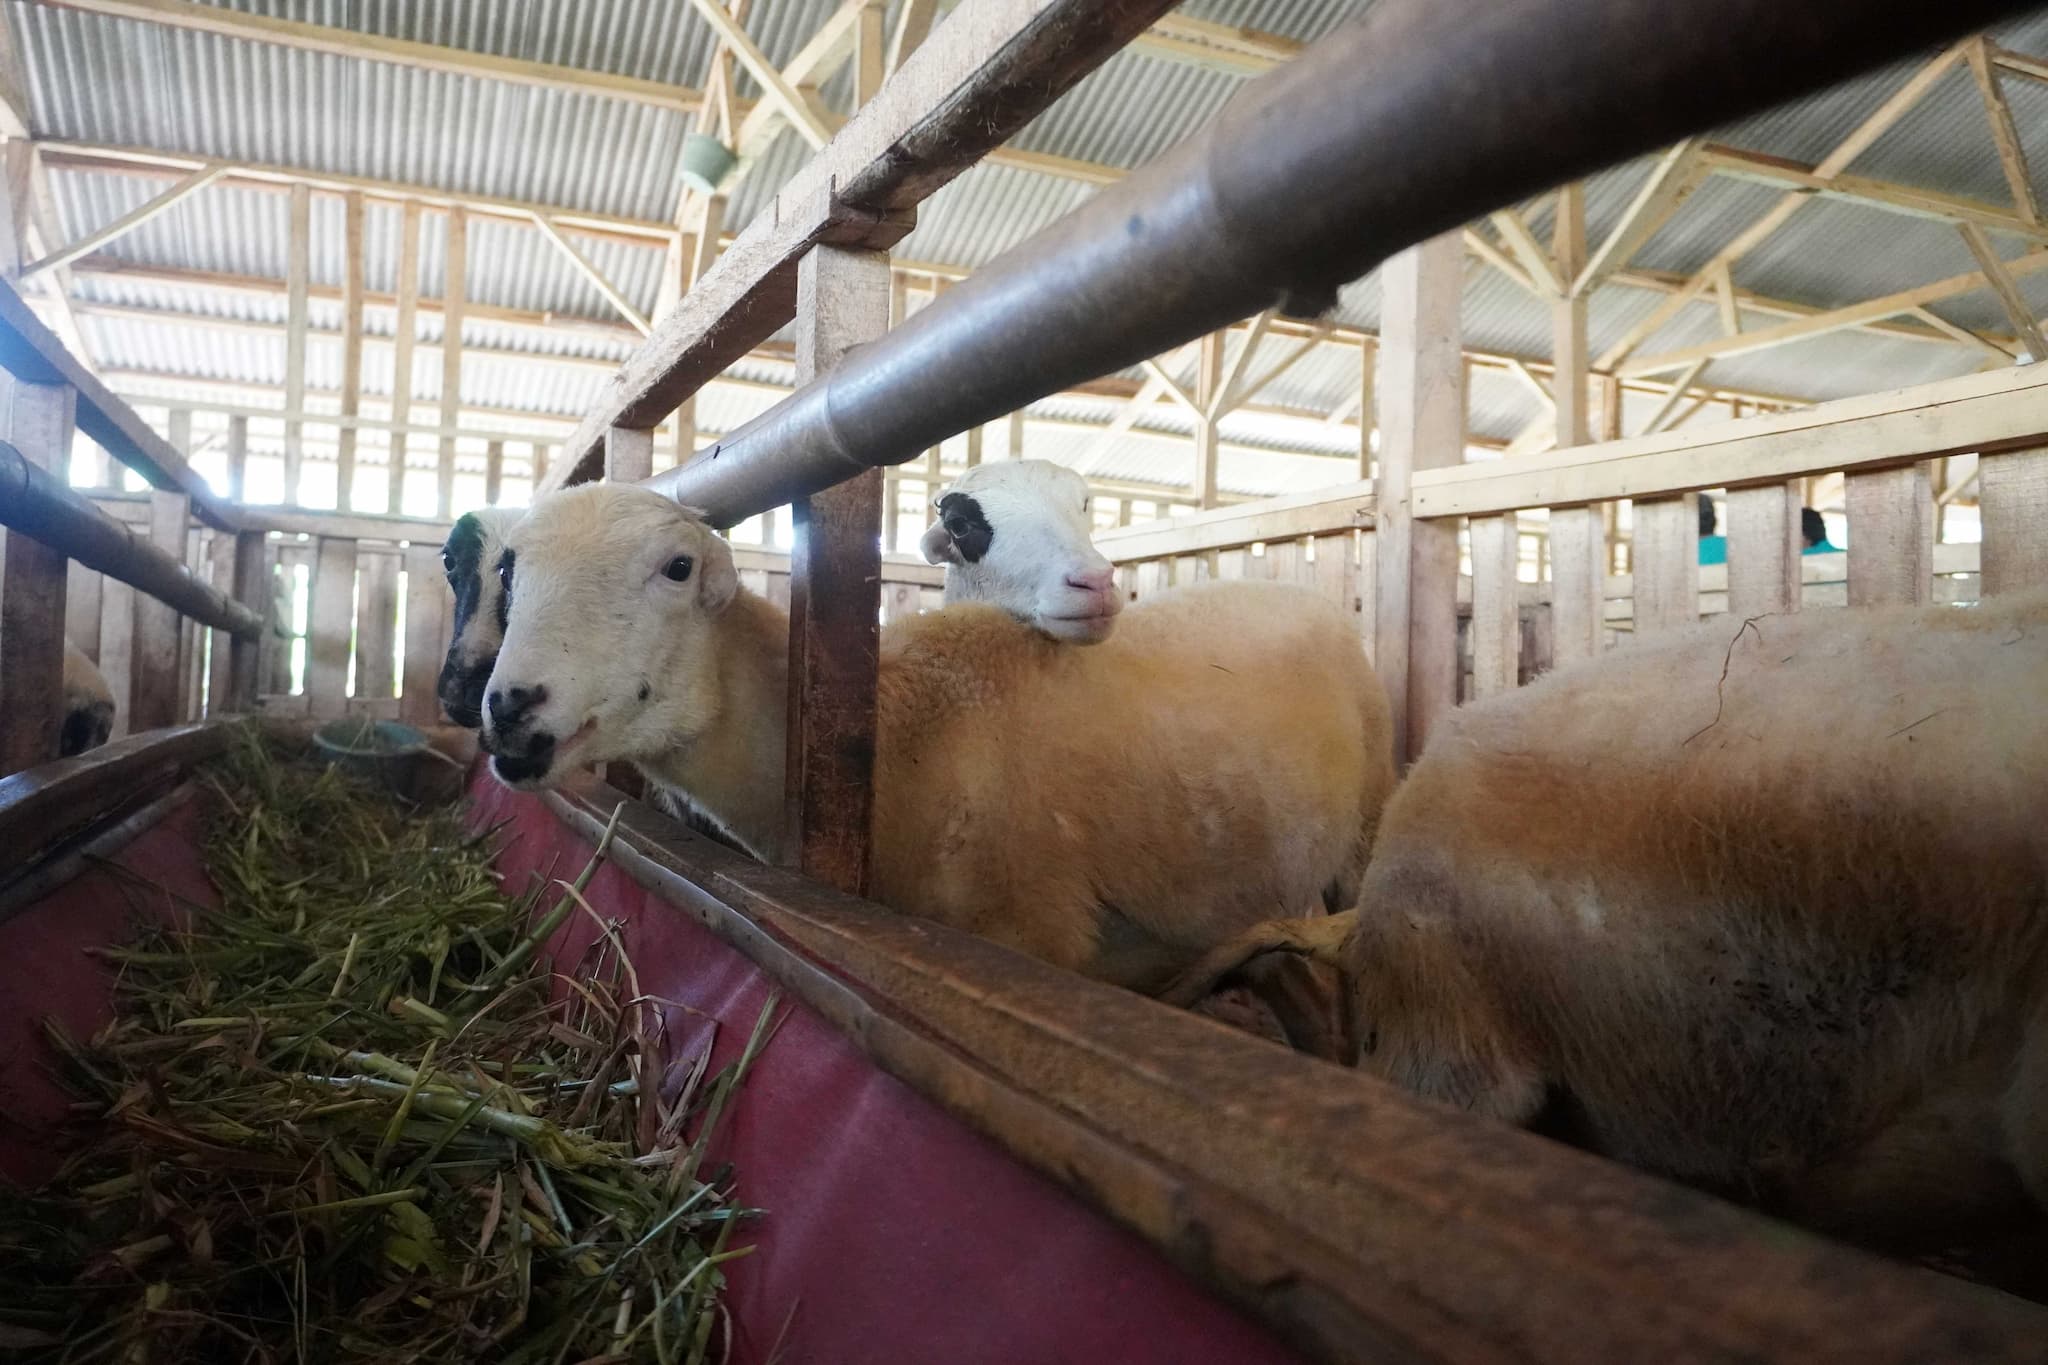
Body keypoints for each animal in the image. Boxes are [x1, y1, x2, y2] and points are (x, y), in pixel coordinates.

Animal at [483, 482, 1392, 1002]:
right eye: (511, 572)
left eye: (677, 567)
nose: (508, 709)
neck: (899, 734)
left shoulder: (1032, 936)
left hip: (1364, 840)